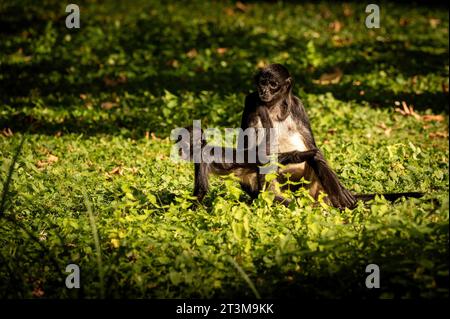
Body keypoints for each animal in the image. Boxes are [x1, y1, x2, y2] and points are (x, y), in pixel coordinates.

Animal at [237, 63, 424, 209]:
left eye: (273, 84)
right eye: (262, 83)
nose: (264, 91)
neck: (273, 106)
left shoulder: (297, 105)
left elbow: (314, 148)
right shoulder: (251, 101)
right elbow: (247, 152)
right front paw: (298, 155)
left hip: (312, 189)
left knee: (316, 161)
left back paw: (345, 203)